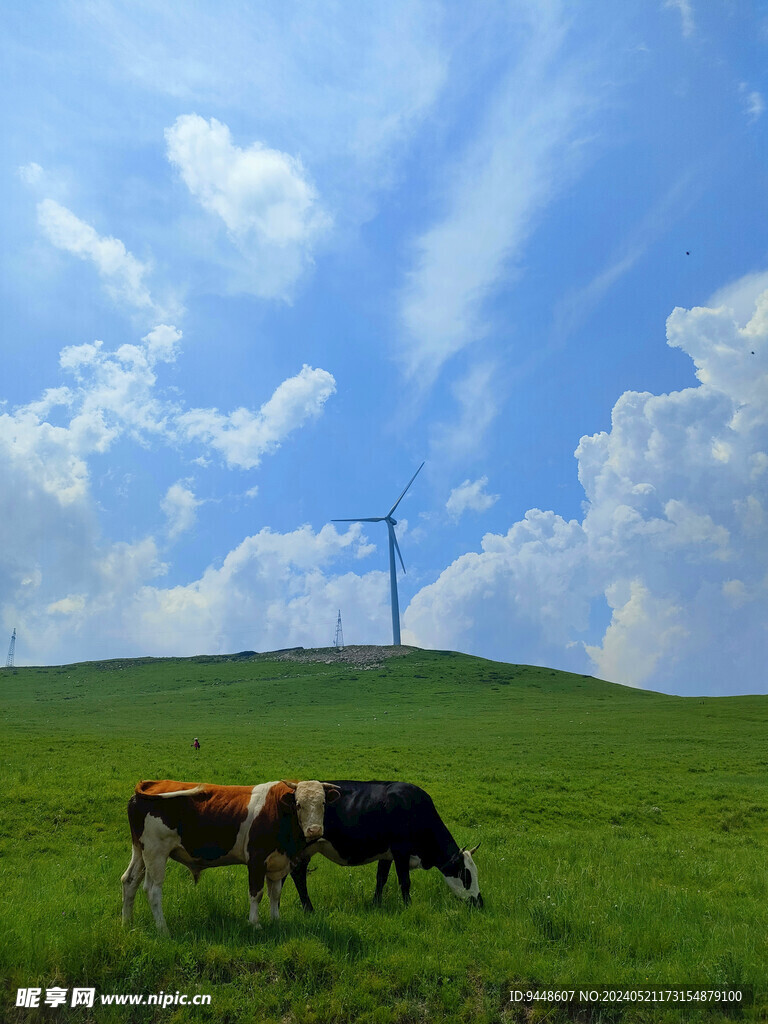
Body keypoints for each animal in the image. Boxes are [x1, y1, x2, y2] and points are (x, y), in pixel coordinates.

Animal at [121, 778, 337, 933]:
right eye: (299, 804)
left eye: (323, 803)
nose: (314, 830)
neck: (278, 809)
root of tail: (150, 784)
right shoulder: (256, 861)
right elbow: (256, 893)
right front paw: (255, 924)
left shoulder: (278, 863)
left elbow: (275, 894)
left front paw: (276, 921)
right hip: (156, 852)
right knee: (153, 890)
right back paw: (163, 929)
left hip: (140, 851)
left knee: (129, 881)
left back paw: (127, 923)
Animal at [288, 778, 481, 909]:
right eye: (466, 875)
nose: (479, 902)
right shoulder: (401, 851)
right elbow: (405, 881)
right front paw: (408, 906)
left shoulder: (387, 854)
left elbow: (381, 878)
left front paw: (376, 904)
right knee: (298, 875)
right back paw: (309, 909)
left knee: (299, 874)